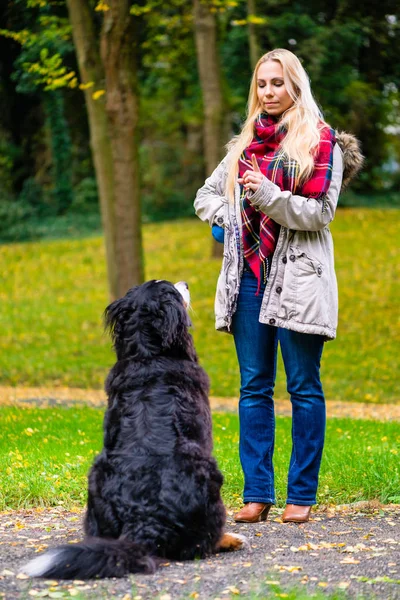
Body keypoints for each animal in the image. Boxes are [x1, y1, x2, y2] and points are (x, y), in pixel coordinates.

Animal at [24, 278, 247, 580]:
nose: (186, 283)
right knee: (202, 543)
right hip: (208, 470)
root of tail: (144, 519)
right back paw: (230, 539)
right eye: (173, 290)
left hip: (96, 474)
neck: (148, 354)